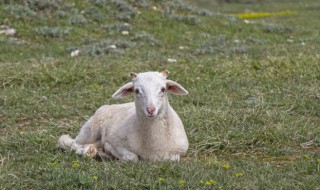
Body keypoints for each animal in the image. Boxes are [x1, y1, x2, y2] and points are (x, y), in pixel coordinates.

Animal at [57, 70, 189, 162]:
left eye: (163, 89)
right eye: (136, 91)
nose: (151, 110)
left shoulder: (180, 151)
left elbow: (173, 158)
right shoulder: (115, 141)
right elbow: (132, 158)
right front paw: (109, 151)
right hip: (90, 130)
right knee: (70, 142)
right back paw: (88, 151)